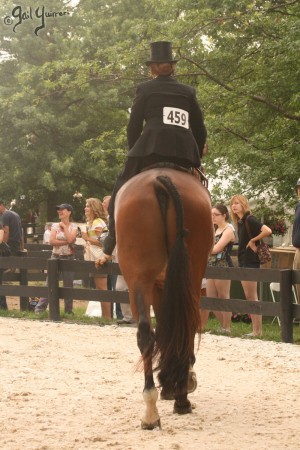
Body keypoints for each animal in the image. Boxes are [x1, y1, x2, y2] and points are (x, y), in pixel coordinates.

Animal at [113, 166, 213, 428]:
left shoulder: (160, 287)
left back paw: (151, 409)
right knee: (183, 328)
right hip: (188, 277)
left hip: (139, 279)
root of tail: (160, 179)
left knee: (145, 334)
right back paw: (179, 399)